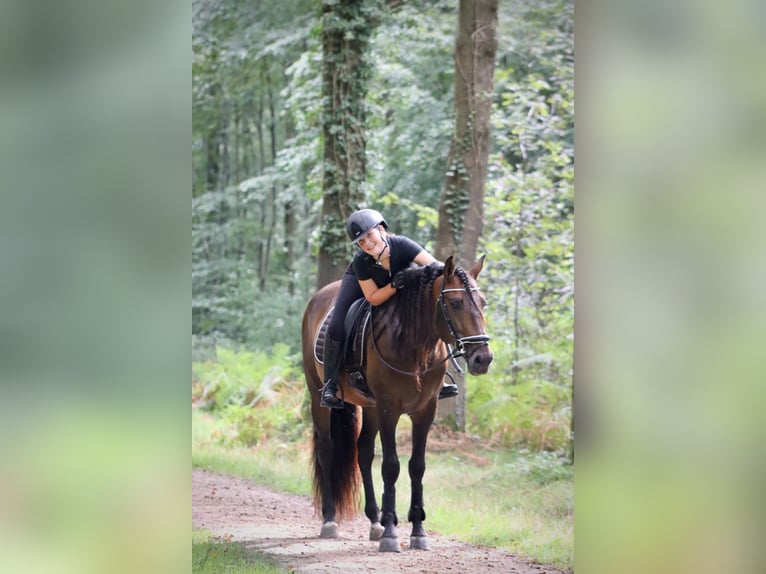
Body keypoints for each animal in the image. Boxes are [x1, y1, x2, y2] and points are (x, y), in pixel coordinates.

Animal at [304, 256, 496, 552]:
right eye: (455, 303)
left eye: (483, 302)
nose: (482, 358)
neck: (415, 344)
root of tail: (318, 298)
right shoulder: (388, 409)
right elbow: (391, 466)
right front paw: (391, 534)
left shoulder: (425, 411)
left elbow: (417, 466)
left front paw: (417, 531)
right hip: (319, 398)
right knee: (327, 449)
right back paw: (330, 520)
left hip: (369, 406)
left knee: (363, 452)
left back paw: (375, 521)